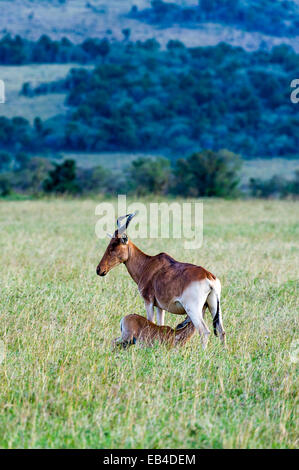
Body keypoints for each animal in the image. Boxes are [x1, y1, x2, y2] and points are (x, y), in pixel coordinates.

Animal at [97, 213, 226, 348]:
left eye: (114, 246)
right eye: (110, 243)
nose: (99, 270)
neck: (148, 264)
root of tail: (208, 276)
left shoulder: (148, 301)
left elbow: (150, 322)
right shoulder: (160, 306)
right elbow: (159, 324)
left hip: (193, 309)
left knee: (204, 331)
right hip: (214, 306)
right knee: (222, 331)